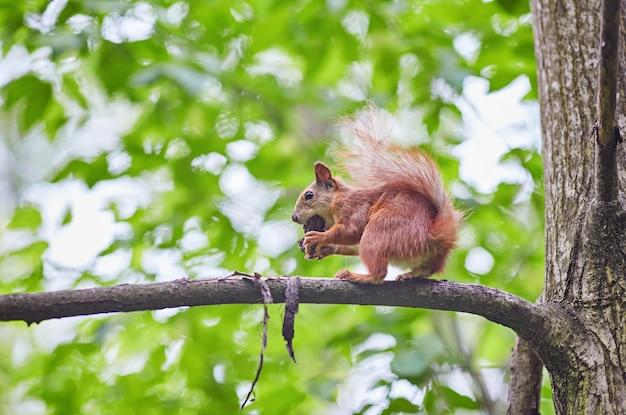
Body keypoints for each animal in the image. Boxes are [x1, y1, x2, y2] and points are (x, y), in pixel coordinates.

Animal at [290, 107, 460, 284]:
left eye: (309, 195)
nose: (294, 217)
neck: (335, 203)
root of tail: (431, 236)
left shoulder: (353, 207)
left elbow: (351, 231)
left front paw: (318, 237)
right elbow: (352, 245)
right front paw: (325, 248)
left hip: (379, 231)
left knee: (379, 273)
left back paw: (355, 275)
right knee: (426, 269)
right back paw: (409, 275)